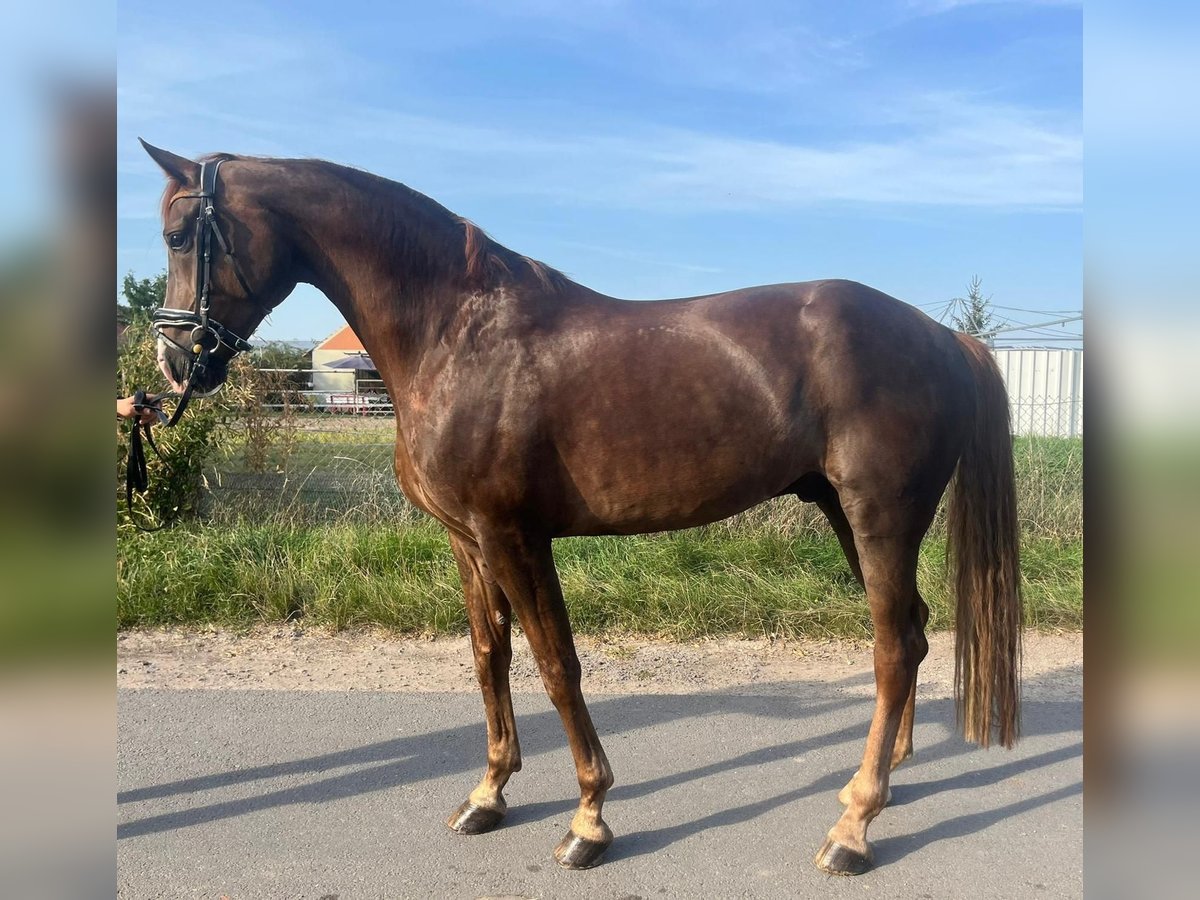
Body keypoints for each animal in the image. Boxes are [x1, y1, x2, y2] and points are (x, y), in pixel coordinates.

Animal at [140, 139, 1022, 873]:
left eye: (182, 236)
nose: (176, 361)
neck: (455, 332)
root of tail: (945, 338)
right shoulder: (467, 541)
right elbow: (489, 657)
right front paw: (488, 795)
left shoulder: (514, 536)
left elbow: (556, 664)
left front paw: (590, 818)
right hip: (847, 514)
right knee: (910, 631)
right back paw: (888, 776)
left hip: (880, 516)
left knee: (893, 648)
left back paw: (853, 827)